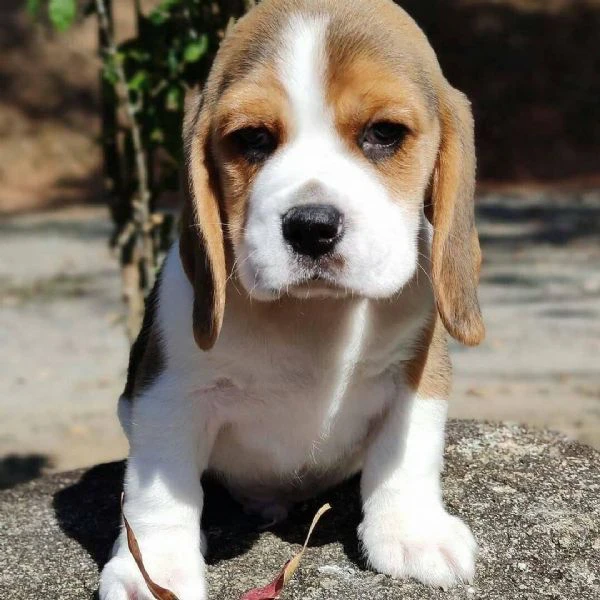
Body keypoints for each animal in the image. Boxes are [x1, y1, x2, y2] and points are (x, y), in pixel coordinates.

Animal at [98, 2, 482, 596]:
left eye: (384, 133)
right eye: (253, 138)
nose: (311, 227)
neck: (313, 316)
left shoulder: (417, 370)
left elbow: (407, 454)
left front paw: (412, 533)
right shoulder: (169, 394)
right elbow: (159, 489)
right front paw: (153, 569)